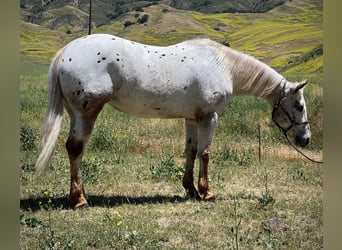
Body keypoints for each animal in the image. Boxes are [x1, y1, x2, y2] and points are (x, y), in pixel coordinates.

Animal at [36, 33, 312, 209]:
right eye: (299, 106)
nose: (306, 139)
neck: (223, 65)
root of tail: (67, 51)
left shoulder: (192, 119)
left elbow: (190, 151)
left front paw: (190, 189)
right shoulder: (209, 117)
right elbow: (205, 153)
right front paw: (207, 192)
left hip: (75, 113)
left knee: (75, 149)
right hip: (87, 113)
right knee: (75, 148)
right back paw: (79, 199)